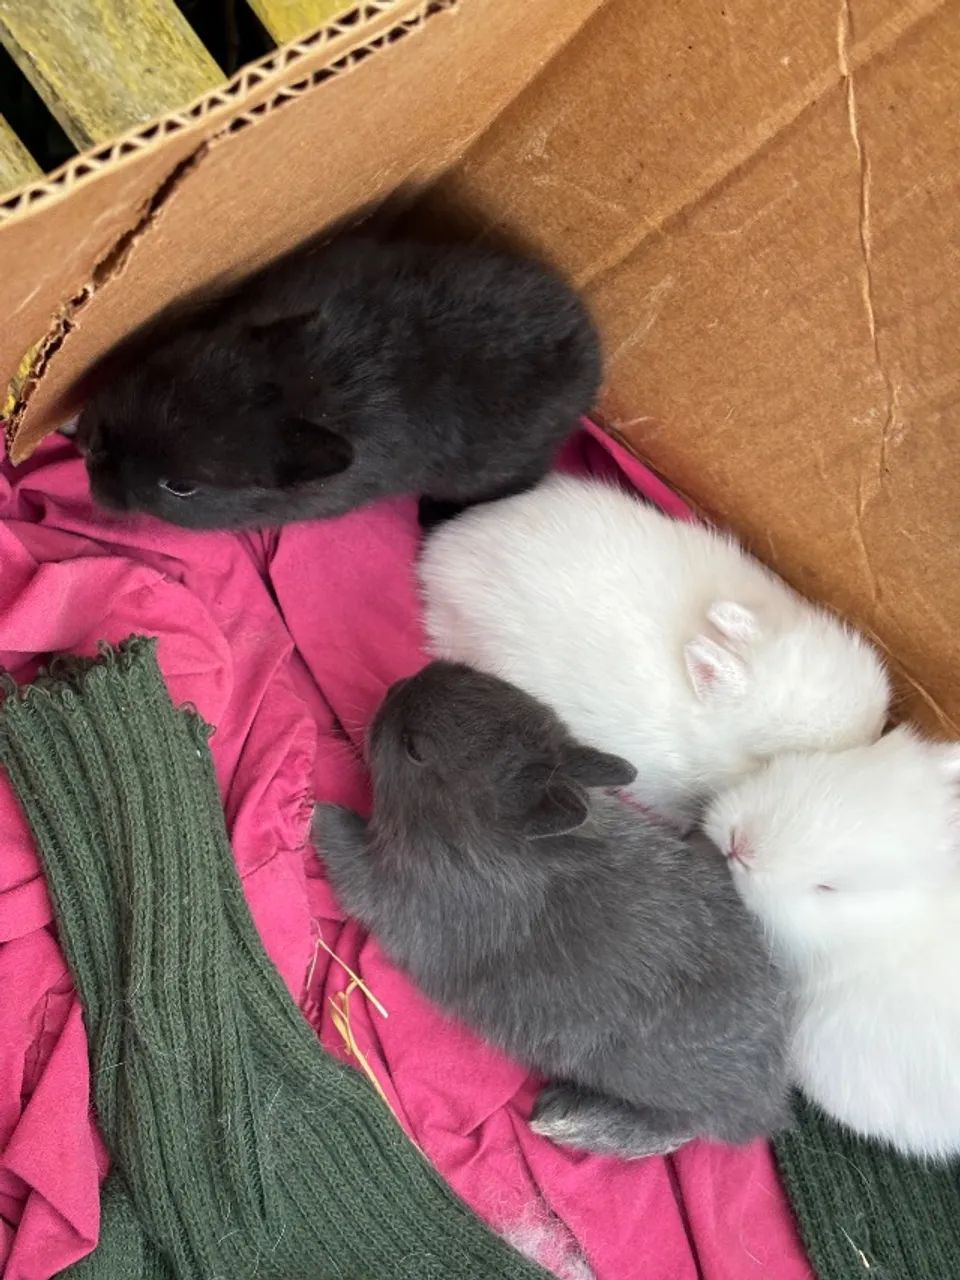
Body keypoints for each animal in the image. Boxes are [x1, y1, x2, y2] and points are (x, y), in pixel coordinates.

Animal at [312, 660, 792, 1159]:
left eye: (415, 748)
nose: (393, 689)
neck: (477, 841)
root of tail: (770, 1097)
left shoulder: (396, 892)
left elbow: (349, 858)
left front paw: (318, 811)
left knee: (691, 1127)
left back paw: (566, 1121)